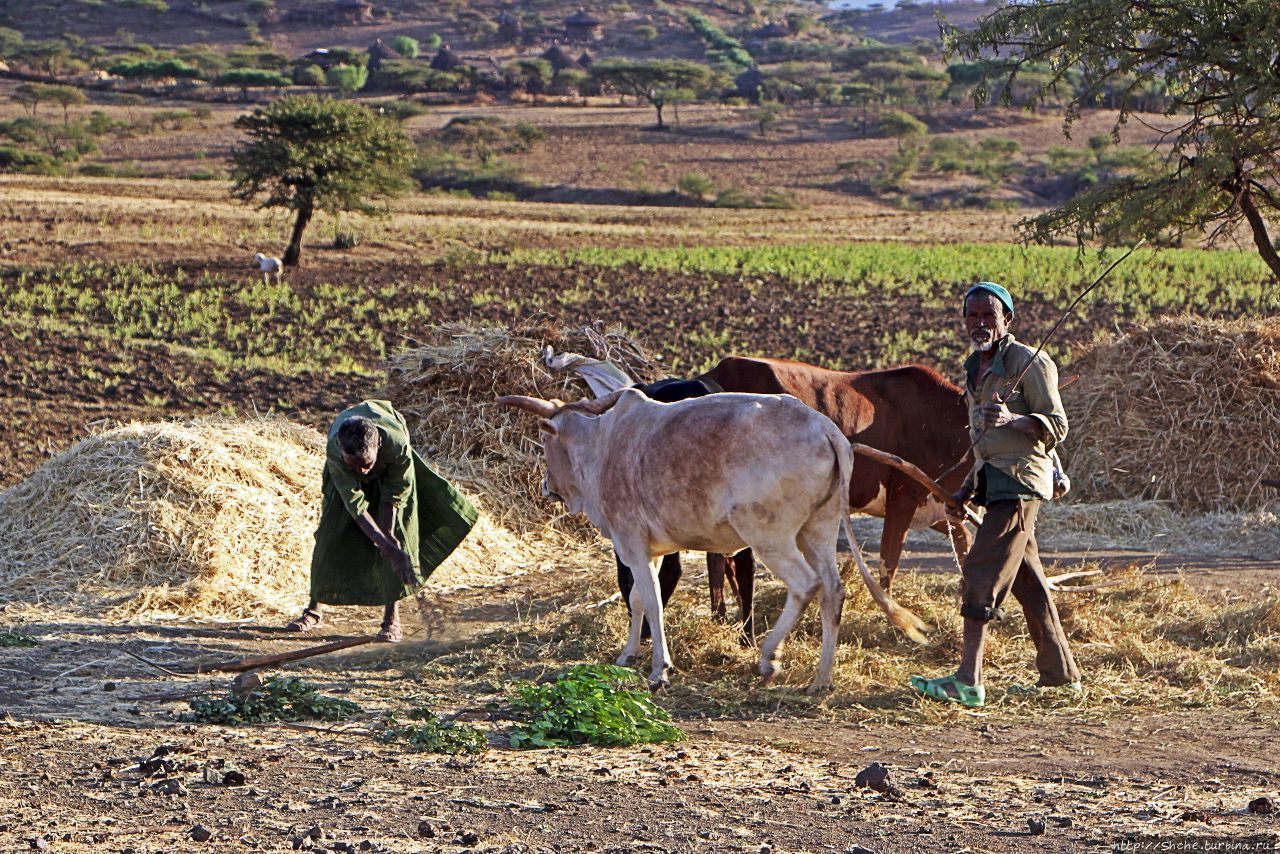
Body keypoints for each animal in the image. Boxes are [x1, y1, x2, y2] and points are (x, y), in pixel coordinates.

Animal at [494, 386, 926, 696]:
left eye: (547, 442)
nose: (547, 486)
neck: (605, 446)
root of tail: (824, 427)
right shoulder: (649, 550)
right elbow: (638, 599)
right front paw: (628, 654)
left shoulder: (631, 542)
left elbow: (651, 600)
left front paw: (659, 670)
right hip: (816, 531)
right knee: (833, 592)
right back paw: (821, 678)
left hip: (769, 535)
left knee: (806, 585)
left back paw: (769, 659)